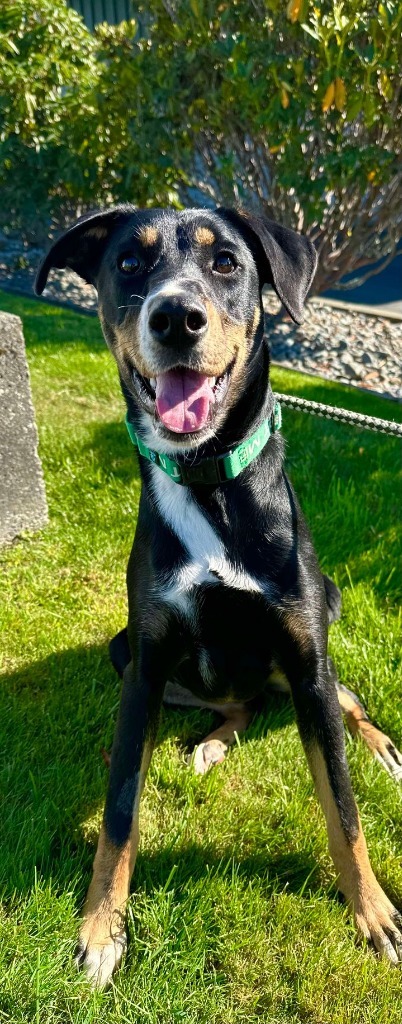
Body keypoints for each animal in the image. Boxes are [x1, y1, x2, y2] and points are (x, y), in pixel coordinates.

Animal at [35, 205, 400, 983]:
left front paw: (374, 913)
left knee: (337, 698)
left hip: (312, 650)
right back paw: (211, 743)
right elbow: (119, 811)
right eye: (129, 264)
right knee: (242, 703)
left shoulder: (307, 656)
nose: (177, 317)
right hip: (124, 653)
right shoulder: (144, 667)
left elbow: (345, 808)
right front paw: (101, 928)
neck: (209, 481)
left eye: (226, 261)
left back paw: (383, 746)